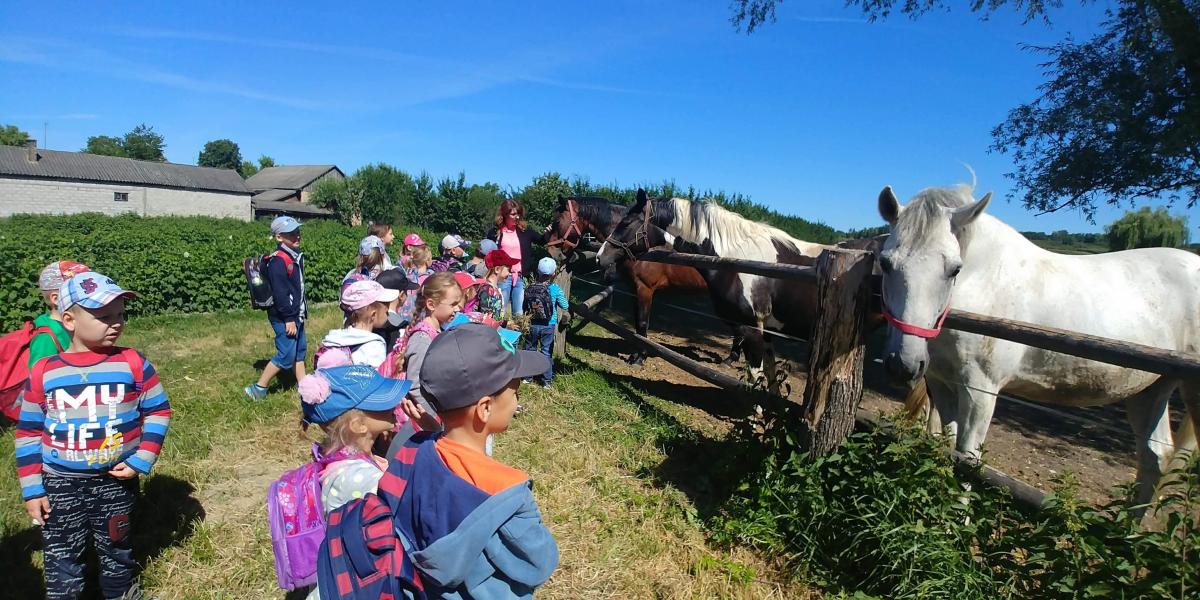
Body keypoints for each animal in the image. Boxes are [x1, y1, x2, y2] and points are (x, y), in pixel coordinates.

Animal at [546, 194, 744, 365]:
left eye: (557, 222)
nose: (551, 251)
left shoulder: (645, 289)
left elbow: (642, 323)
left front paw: (640, 357)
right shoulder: (634, 289)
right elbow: (637, 326)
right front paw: (635, 354)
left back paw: (731, 360)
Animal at [598, 189, 836, 394]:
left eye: (626, 223)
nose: (601, 256)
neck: (740, 260)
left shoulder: (752, 328)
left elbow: (755, 374)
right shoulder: (767, 330)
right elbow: (770, 377)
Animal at [877, 183, 1200, 506]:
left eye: (955, 269)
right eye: (885, 263)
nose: (903, 364)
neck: (986, 283)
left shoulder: (980, 392)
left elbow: (967, 461)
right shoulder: (943, 384)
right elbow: (946, 448)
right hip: (1149, 390)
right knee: (1155, 459)